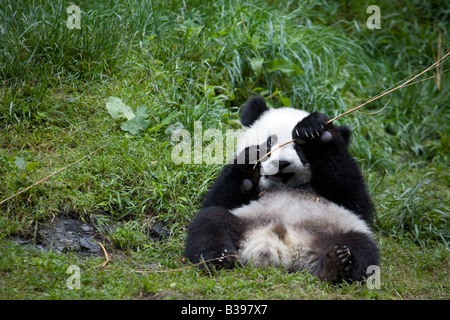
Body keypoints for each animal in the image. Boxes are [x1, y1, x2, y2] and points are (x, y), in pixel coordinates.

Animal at [185, 95, 378, 282]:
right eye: (270, 141)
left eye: (299, 149)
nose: (282, 163)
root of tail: (283, 250)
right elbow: (219, 199)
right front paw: (250, 161)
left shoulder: (344, 196)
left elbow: (354, 197)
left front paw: (318, 131)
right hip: (246, 220)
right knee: (210, 222)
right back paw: (220, 259)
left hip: (334, 230)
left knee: (362, 248)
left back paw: (334, 266)